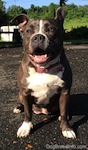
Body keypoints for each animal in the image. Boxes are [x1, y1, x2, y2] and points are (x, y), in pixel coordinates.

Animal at [12, 4, 76, 139]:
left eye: (51, 29)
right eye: (28, 31)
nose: (38, 37)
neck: (43, 69)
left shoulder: (65, 91)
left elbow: (63, 112)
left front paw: (66, 129)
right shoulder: (25, 92)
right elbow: (28, 113)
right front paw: (26, 127)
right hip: (20, 94)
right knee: (23, 105)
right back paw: (18, 108)